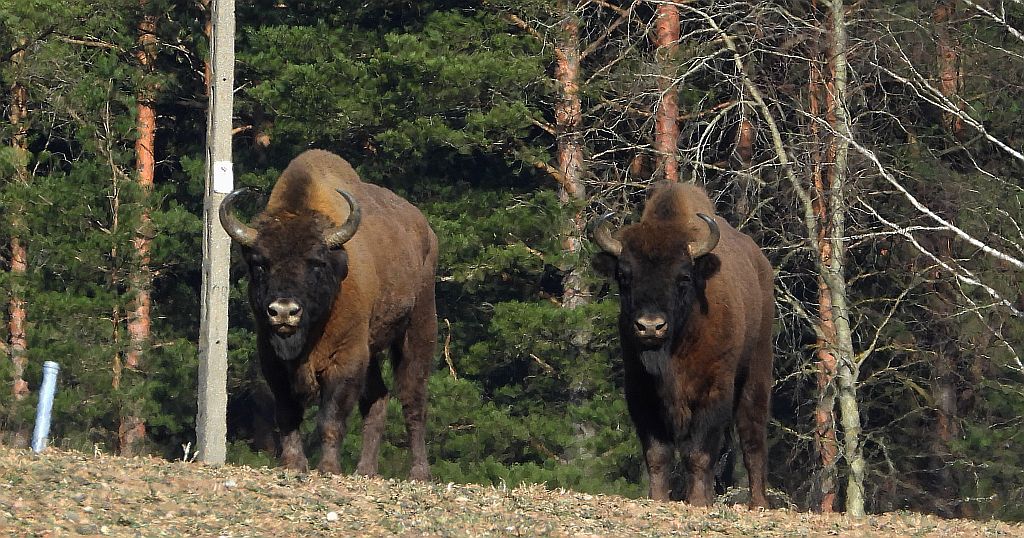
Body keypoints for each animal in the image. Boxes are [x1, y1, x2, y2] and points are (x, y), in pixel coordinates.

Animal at [220, 149, 437, 479]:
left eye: (316, 263)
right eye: (260, 263)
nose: (284, 312)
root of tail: (426, 231)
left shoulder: (345, 358)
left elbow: (331, 418)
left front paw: (329, 468)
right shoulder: (272, 361)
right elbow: (287, 414)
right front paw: (293, 464)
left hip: (418, 327)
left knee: (413, 398)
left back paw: (418, 474)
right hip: (372, 350)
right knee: (378, 399)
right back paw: (365, 470)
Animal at [592, 181, 774, 508]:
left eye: (684, 276)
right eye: (623, 275)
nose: (650, 326)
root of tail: (761, 266)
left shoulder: (713, 389)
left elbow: (699, 453)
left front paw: (699, 502)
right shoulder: (640, 392)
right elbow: (657, 454)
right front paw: (658, 499)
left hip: (757, 369)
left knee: (752, 437)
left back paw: (758, 504)